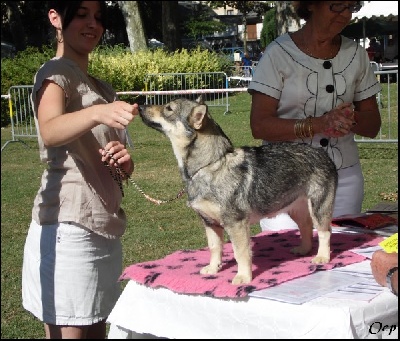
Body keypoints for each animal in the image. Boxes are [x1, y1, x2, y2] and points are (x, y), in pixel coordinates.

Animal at [138, 96, 338, 284]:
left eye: (168, 108)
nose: (139, 105)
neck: (210, 165)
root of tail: (322, 153)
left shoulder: (236, 224)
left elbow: (240, 253)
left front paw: (243, 277)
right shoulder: (210, 223)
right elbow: (214, 248)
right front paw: (213, 268)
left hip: (318, 208)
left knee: (325, 232)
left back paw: (322, 257)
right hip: (296, 209)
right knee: (306, 227)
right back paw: (304, 249)